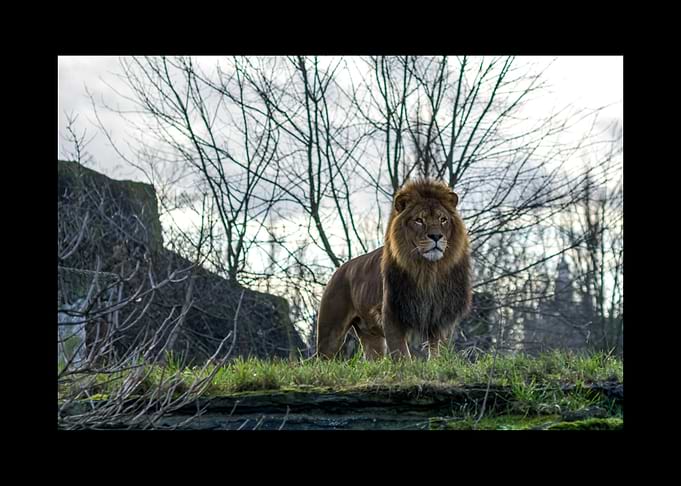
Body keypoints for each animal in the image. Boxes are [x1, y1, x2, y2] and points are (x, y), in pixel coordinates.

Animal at [316, 178, 472, 360]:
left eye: (443, 219)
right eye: (419, 220)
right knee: (322, 358)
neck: (428, 270)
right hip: (330, 334)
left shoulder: (441, 317)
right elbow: (401, 353)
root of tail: (339, 270)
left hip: (371, 337)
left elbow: (437, 350)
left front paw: (436, 362)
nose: (436, 236)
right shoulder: (392, 314)